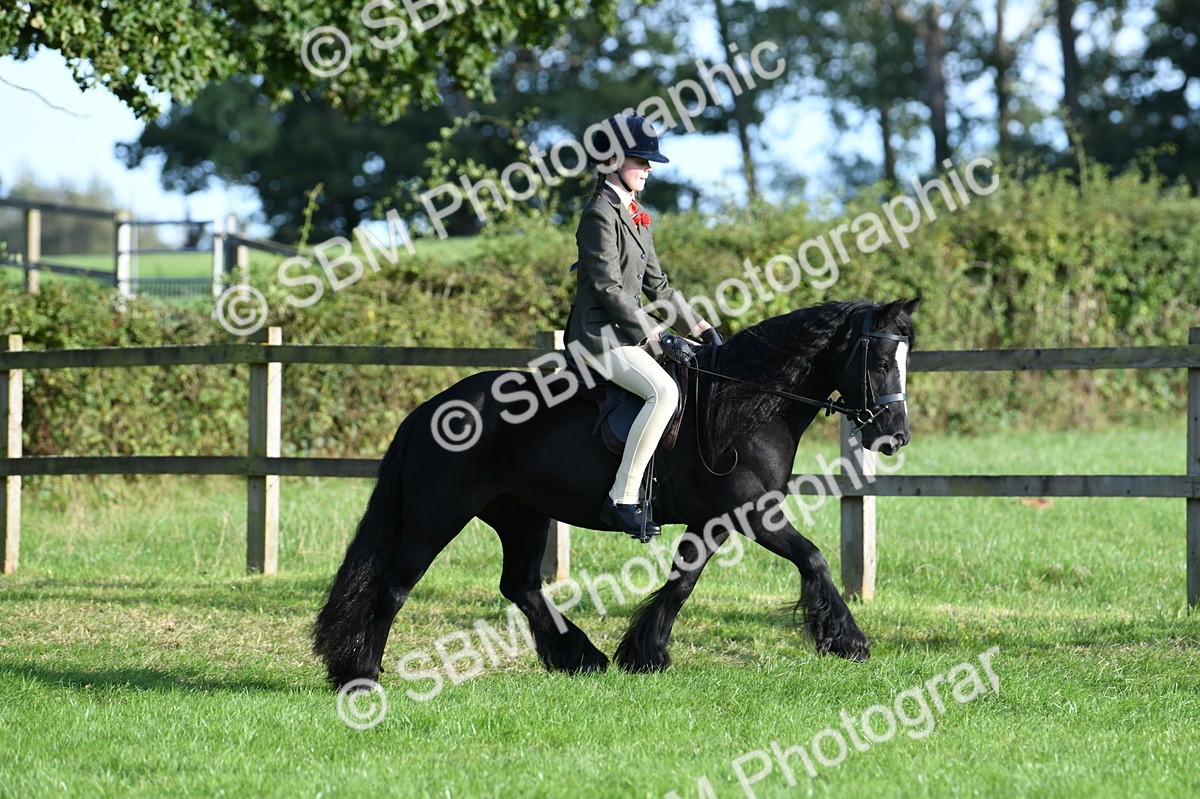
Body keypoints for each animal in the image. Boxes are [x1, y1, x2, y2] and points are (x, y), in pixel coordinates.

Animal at [313, 297, 920, 688]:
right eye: (880, 360)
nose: (894, 436)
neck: (746, 402)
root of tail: (430, 410)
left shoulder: (713, 521)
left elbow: (681, 584)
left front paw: (643, 653)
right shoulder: (754, 513)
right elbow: (813, 558)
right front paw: (847, 641)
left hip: (522, 516)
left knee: (521, 586)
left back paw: (579, 656)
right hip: (435, 519)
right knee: (393, 589)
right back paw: (361, 675)